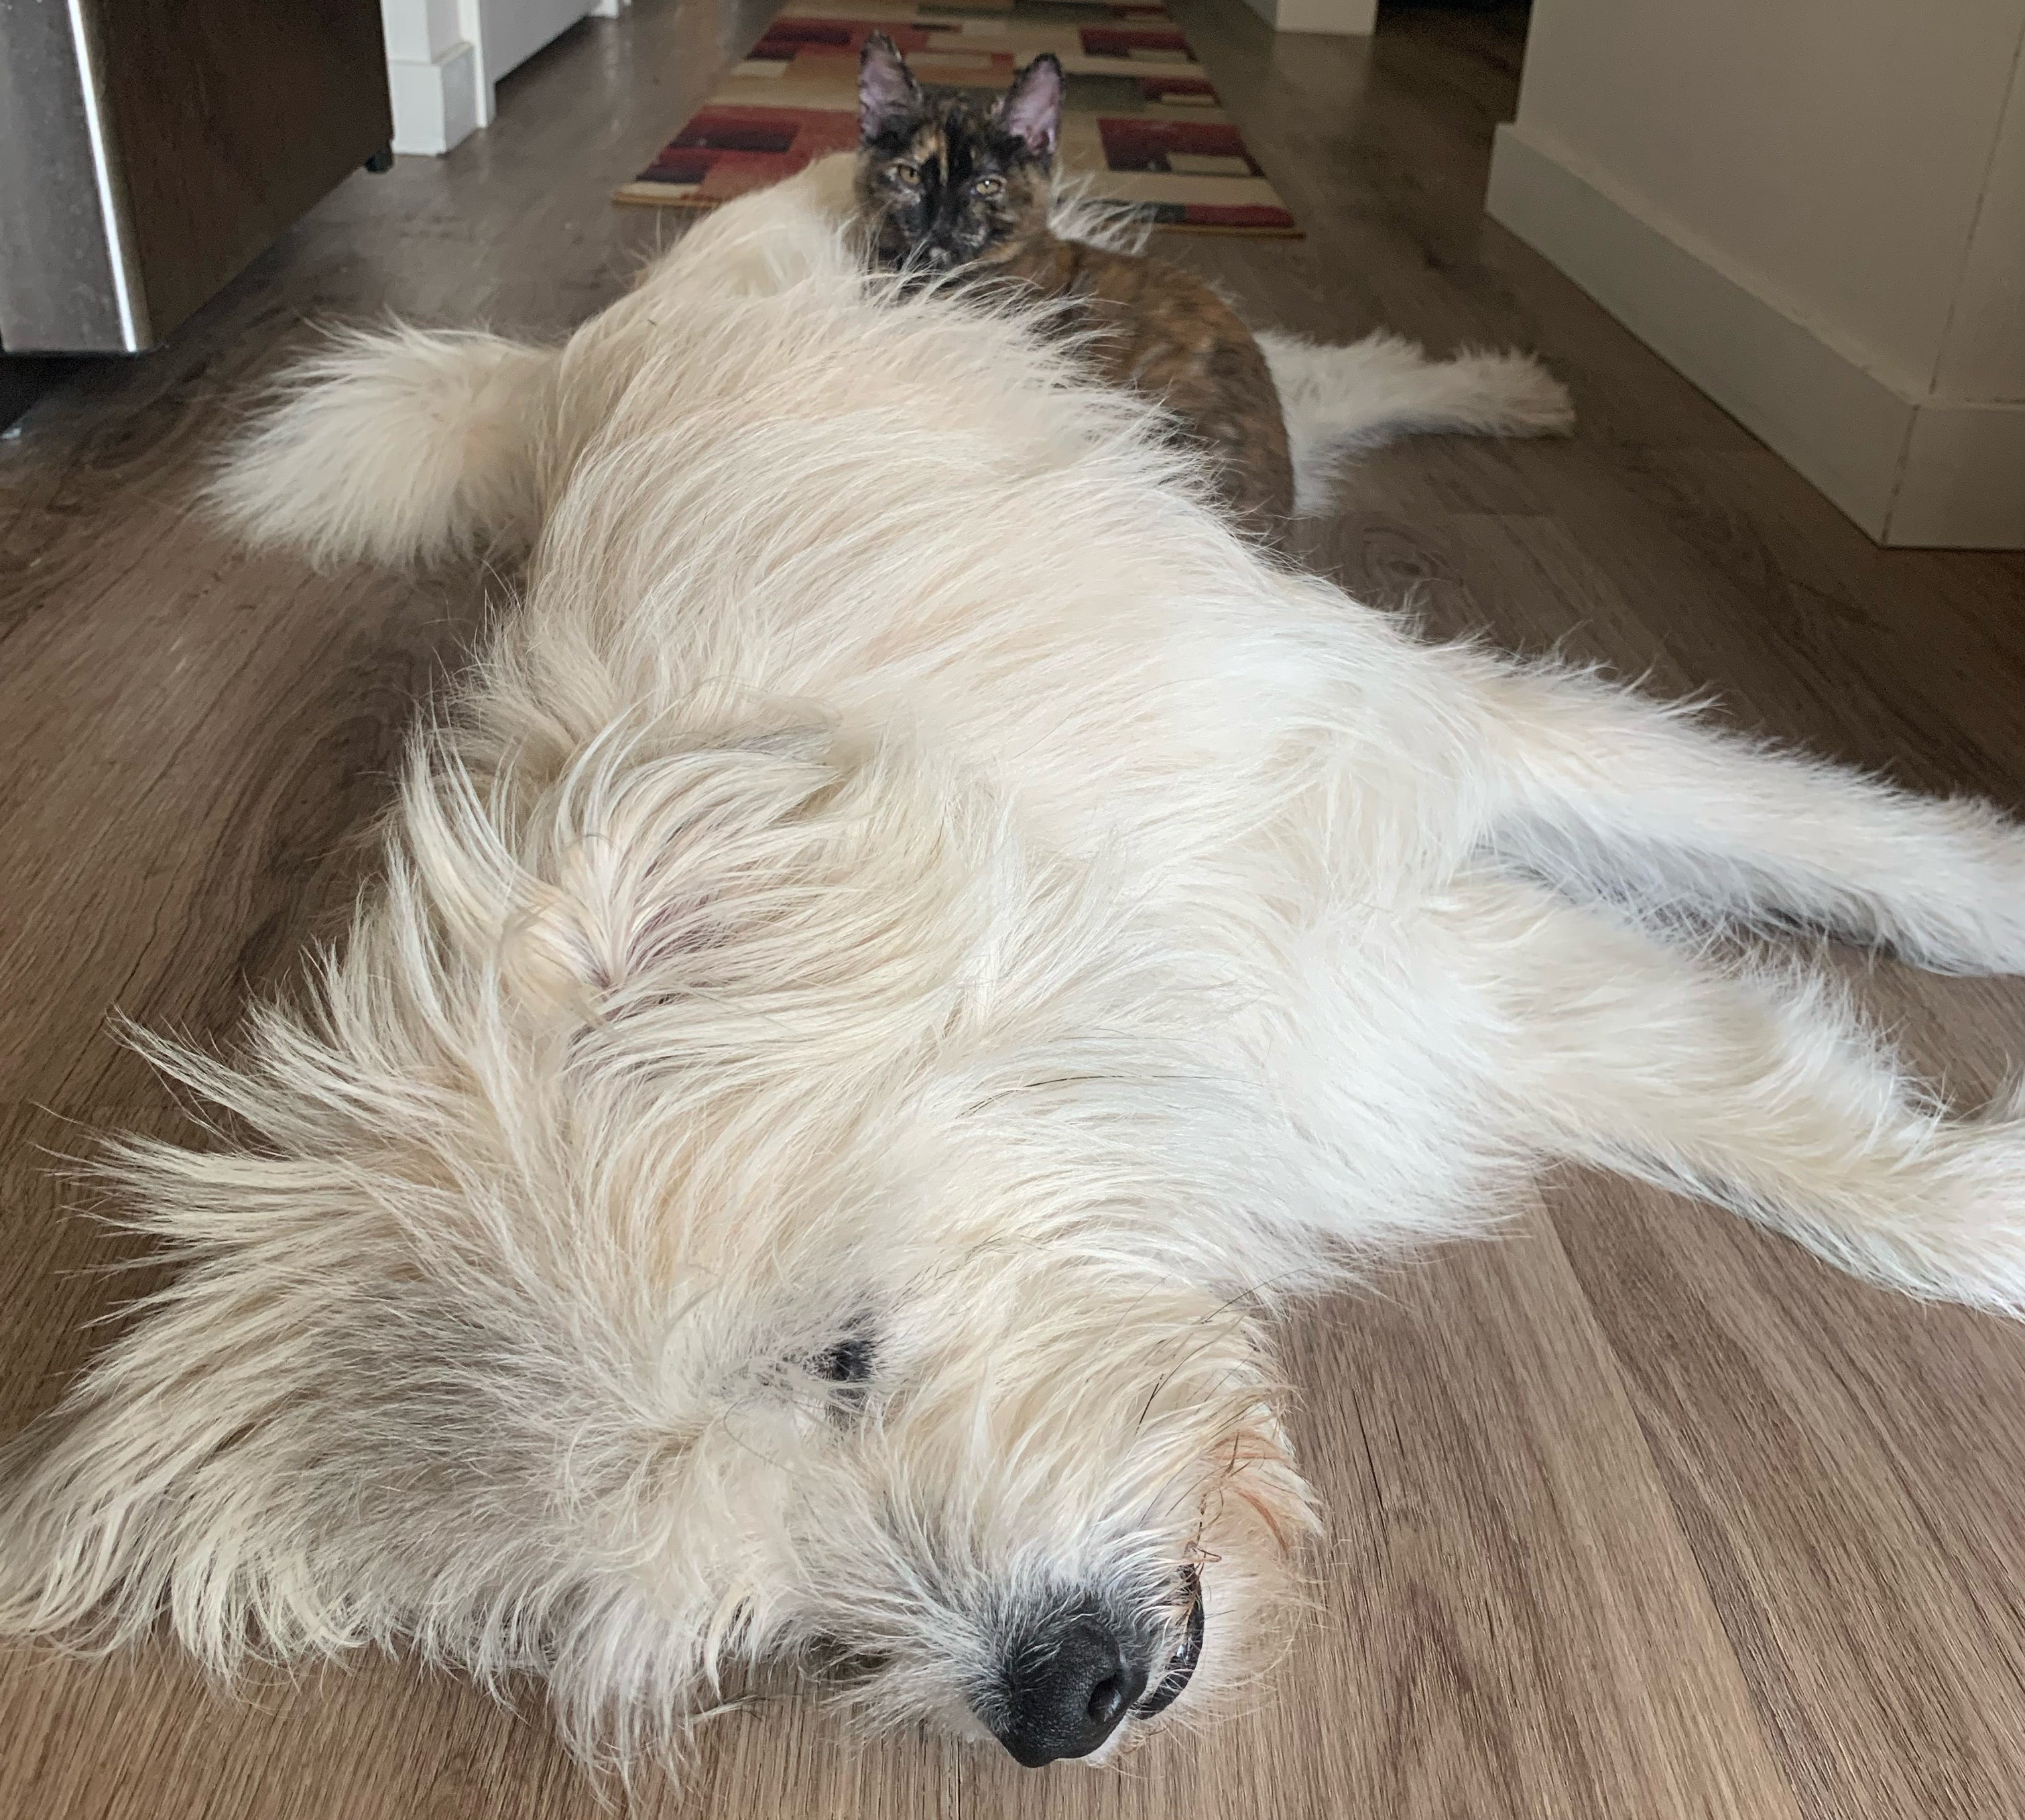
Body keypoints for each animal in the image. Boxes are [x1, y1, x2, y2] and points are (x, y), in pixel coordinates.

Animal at [3, 160, 2025, 1789]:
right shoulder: (1418, 1013)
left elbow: (1804, 852)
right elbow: (1742, 1072)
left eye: (842, 1349)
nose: (1059, 1699)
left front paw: (1983, 956)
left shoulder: (1410, 775)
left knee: (1308, 369)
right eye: (764, 1624)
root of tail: (595, 337)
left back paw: (1494, 378)